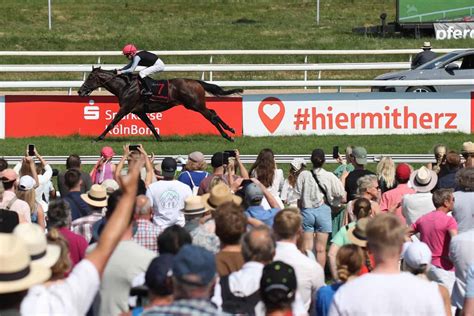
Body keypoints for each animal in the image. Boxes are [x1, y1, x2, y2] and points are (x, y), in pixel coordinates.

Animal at [78, 67, 243, 141]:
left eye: (90, 78)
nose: (80, 91)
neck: (125, 86)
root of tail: (196, 82)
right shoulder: (139, 111)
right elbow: (150, 125)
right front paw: (159, 139)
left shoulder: (125, 108)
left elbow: (112, 123)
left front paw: (98, 138)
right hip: (195, 105)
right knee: (213, 112)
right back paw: (230, 130)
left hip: (195, 105)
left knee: (211, 116)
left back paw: (228, 135)